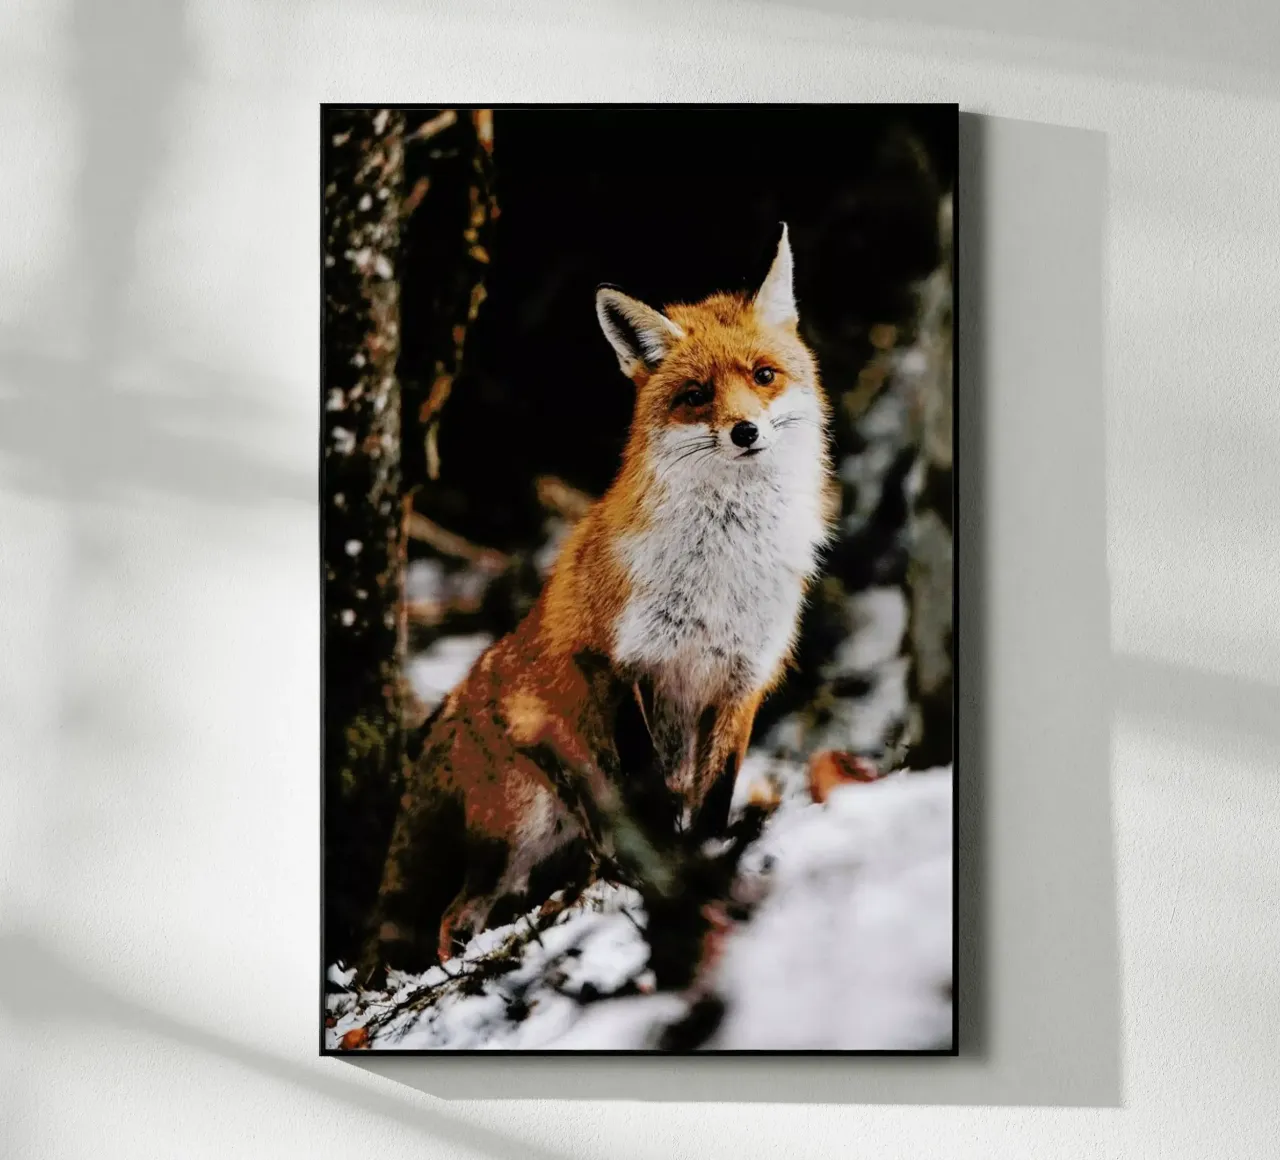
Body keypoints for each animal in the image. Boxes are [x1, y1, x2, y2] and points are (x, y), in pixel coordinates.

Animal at [359, 225, 837, 979]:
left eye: (763, 376)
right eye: (696, 394)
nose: (745, 432)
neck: (721, 571)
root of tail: (455, 702)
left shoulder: (741, 681)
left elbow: (713, 800)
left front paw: (705, 863)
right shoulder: (620, 663)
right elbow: (650, 792)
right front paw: (675, 878)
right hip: (520, 828)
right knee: (452, 915)